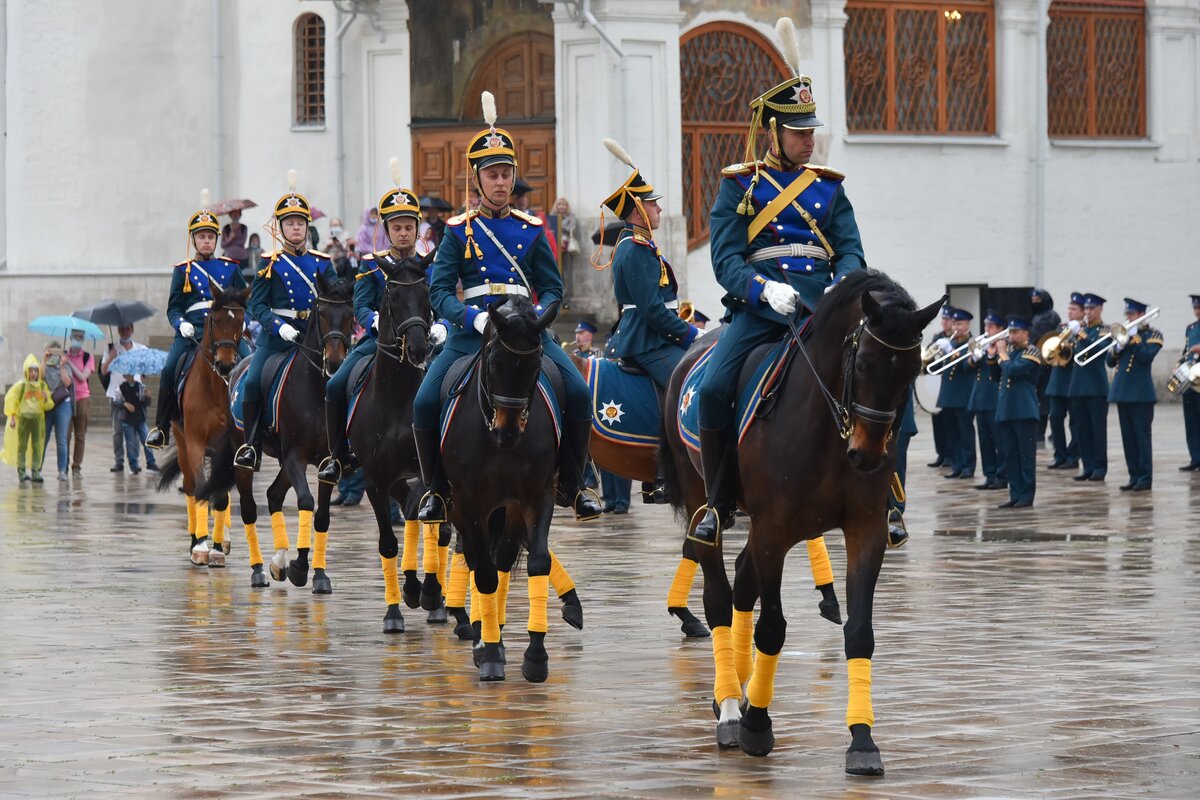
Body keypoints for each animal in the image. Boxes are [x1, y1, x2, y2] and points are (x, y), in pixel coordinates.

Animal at [154, 284, 248, 566]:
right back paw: (196, 539)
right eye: (214, 319)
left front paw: (217, 548)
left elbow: (220, 495)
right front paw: (201, 547)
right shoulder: (195, 441)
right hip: (182, 441)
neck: (216, 386)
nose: (225, 364)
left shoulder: (227, 446)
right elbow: (200, 488)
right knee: (190, 486)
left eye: (241, 320)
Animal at [196, 272, 352, 592]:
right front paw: (300, 567)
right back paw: (258, 569)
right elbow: (306, 502)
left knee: (273, 495)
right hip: (244, 455)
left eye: (350, 315)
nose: (334, 362)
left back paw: (278, 560)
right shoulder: (295, 457)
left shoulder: (327, 465)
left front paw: (319, 574)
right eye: (321, 313)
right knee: (249, 508)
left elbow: (322, 515)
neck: (316, 391)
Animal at [446, 297, 561, 686]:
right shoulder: (467, 504)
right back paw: (483, 638)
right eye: (495, 361)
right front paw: (492, 654)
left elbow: (537, 562)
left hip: (508, 510)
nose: (507, 431)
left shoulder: (537, 496)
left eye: (536, 364)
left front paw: (536, 656)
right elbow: (481, 572)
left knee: (504, 560)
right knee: (479, 561)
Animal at [662, 271, 940, 777]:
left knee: (742, 584)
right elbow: (772, 627)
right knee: (718, 597)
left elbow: (859, 632)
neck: (830, 428)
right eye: (864, 363)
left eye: (913, 371)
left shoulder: (865, 530)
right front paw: (756, 727)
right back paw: (730, 707)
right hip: (703, 502)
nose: (868, 456)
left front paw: (862, 739)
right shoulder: (773, 529)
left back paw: (743, 687)